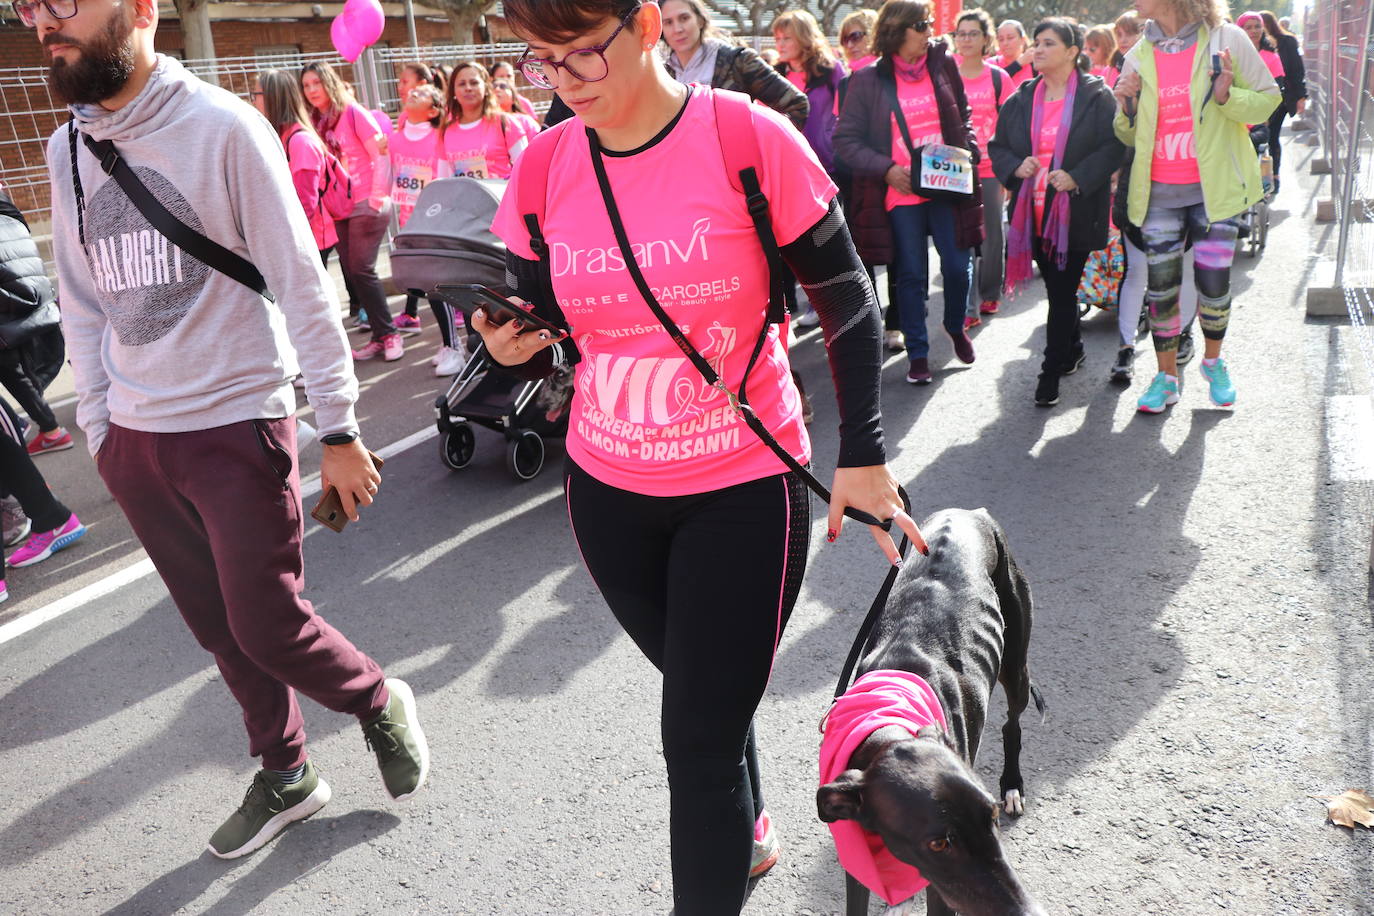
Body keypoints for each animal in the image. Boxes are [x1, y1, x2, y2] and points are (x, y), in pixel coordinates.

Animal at [813, 508, 1049, 916]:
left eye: (991, 815)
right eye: (938, 844)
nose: (1031, 913)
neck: (887, 728)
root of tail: (971, 512)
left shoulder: (942, 894)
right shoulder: (859, 867)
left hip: (1016, 663)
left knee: (1012, 723)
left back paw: (1013, 784)